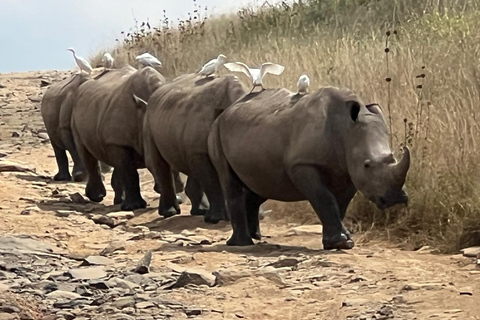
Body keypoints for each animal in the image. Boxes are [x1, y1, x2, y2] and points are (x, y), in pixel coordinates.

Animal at [71, 66, 184, 210]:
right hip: (76, 115)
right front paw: (134, 207)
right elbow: (130, 172)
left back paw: (119, 201)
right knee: (87, 153)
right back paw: (98, 197)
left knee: (117, 163)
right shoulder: (118, 142)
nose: (180, 188)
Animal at [139, 74, 244, 221]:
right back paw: (169, 213)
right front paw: (215, 219)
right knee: (158, 163)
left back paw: (200, 211)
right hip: (148, 119)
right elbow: (212, 183)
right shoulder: (199, 152)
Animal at [208, 86, 410, 249]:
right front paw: (341, 242)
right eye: (367, 165)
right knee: (230, 183)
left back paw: (255, 236)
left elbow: (340, 203)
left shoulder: (349, 169)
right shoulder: (302, 164)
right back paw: (242, 244)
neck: (345, 129)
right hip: (216, 131)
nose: (395, 199)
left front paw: (337, 242)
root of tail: (226, 111)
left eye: (393, 158)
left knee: (261, 184)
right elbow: (324, 198)